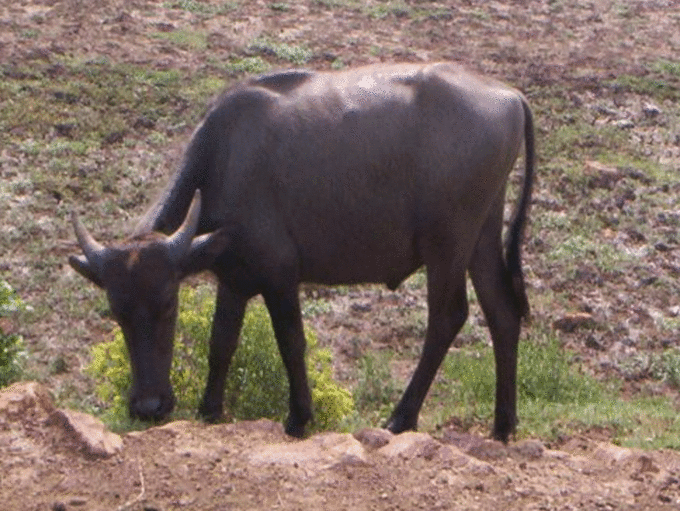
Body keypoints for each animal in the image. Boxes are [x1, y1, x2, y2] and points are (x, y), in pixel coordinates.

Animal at [70, 62, 536, 442]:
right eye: (116, 311)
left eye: (168, 303)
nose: (148, 407)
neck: (224, 158)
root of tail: (509, 95)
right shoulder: (233, 280)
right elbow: (221, 344)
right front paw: (209, 409)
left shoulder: (280, 276)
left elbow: (290, 341)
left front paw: (299, 416)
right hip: (481, 237)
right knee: (502, 311)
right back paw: (502, 423)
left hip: (447, 245)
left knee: (447, 317)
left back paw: (402, 417)